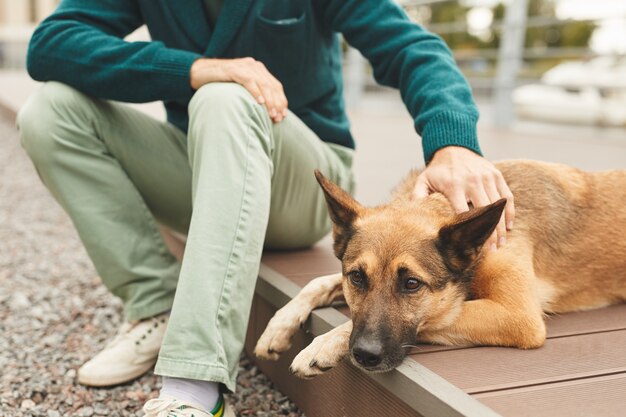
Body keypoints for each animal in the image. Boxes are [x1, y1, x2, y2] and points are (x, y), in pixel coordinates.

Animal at [252, 159, 624, 376]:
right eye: (357, 277)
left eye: (412, 284)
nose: (365, 355)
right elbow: (317, 282)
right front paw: (279, 325)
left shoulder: (517, 316)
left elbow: (435, 315)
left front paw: (324, 344)